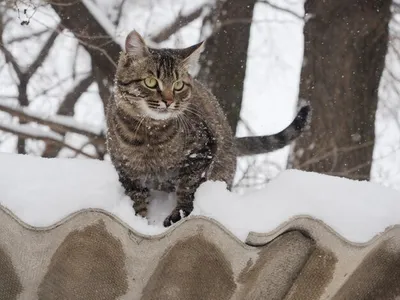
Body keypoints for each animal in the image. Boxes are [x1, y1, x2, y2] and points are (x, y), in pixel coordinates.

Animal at [105, 30, 310, 227]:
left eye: (178, 85)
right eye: (151, 82)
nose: (169, 101)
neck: (149, 134)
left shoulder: (201, 152)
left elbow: (187, 187)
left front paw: (179, 213)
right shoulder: (127, 172)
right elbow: (137, 200)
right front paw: (139, 220)